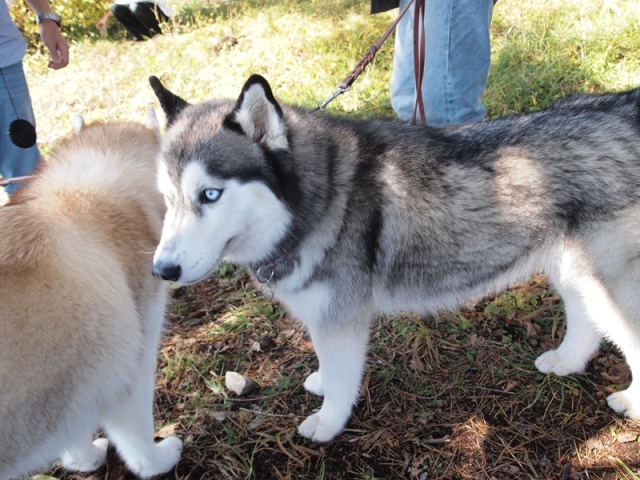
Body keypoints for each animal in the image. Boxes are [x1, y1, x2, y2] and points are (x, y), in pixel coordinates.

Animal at [0, 114, 182, 478]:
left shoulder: (68, 395)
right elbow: (139, 444)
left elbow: (70, 436)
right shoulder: (132, 368)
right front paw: (158, 462)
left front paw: (82, 461)